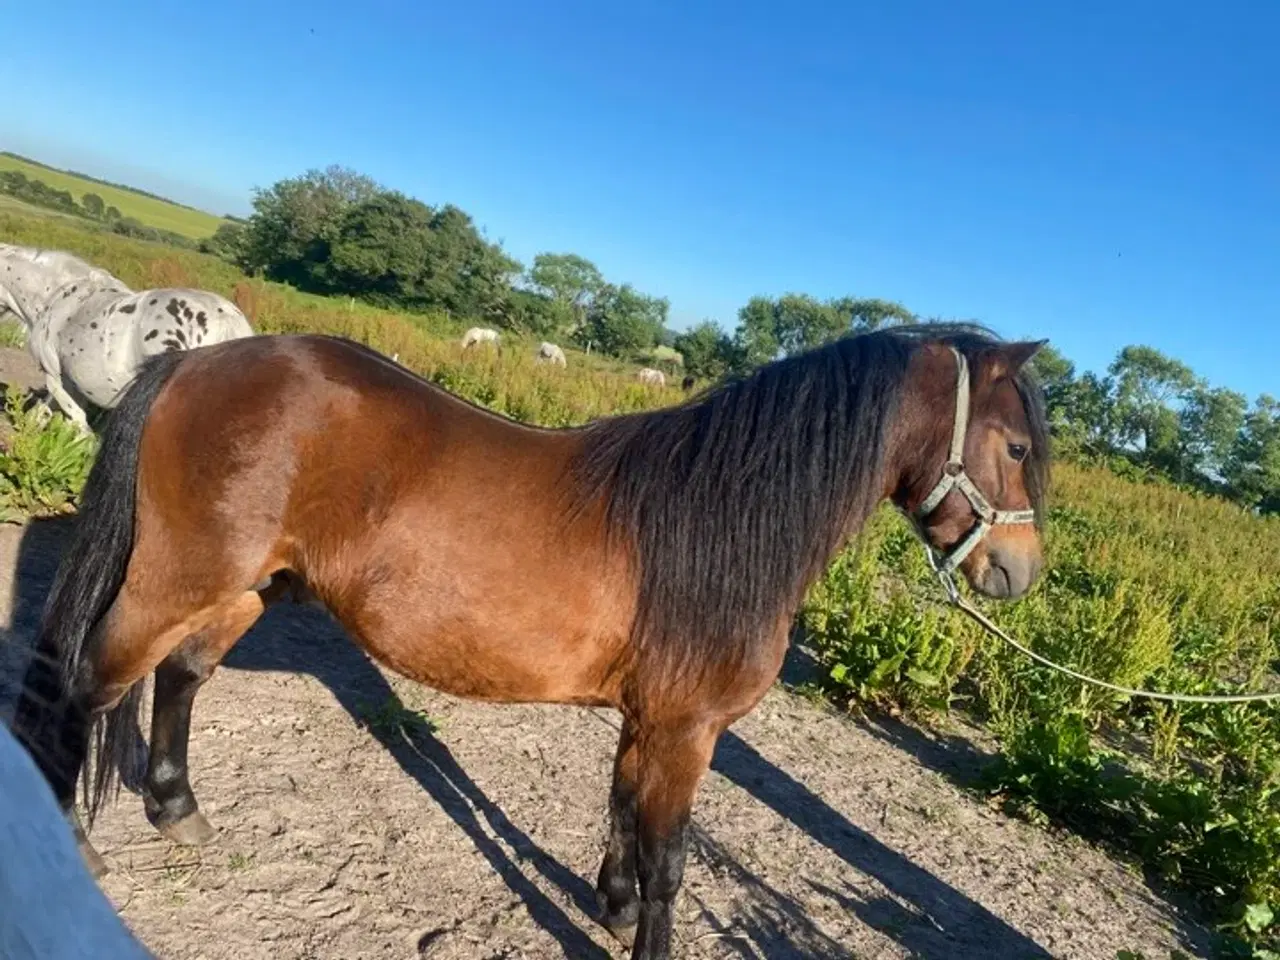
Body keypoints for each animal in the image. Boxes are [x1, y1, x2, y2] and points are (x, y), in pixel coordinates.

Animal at [0, 241, 257, 435]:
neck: (57, 296)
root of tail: (223, 320)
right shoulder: (70, 383)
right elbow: (46, 412)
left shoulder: (54, 376)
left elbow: (77, 422)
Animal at [12, 325, 1049, 960]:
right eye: (1019, 446)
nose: (1020, 574)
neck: (718, 512)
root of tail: (196, 363)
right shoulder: (689, 731)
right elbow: (672, 858)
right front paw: (641, 929)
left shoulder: (649, 721)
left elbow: (624, 813)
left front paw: (611, 906)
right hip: (175, 581)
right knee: (87, 681)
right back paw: (77, 843)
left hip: (242, 588)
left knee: (179, 678)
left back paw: (177, 809)